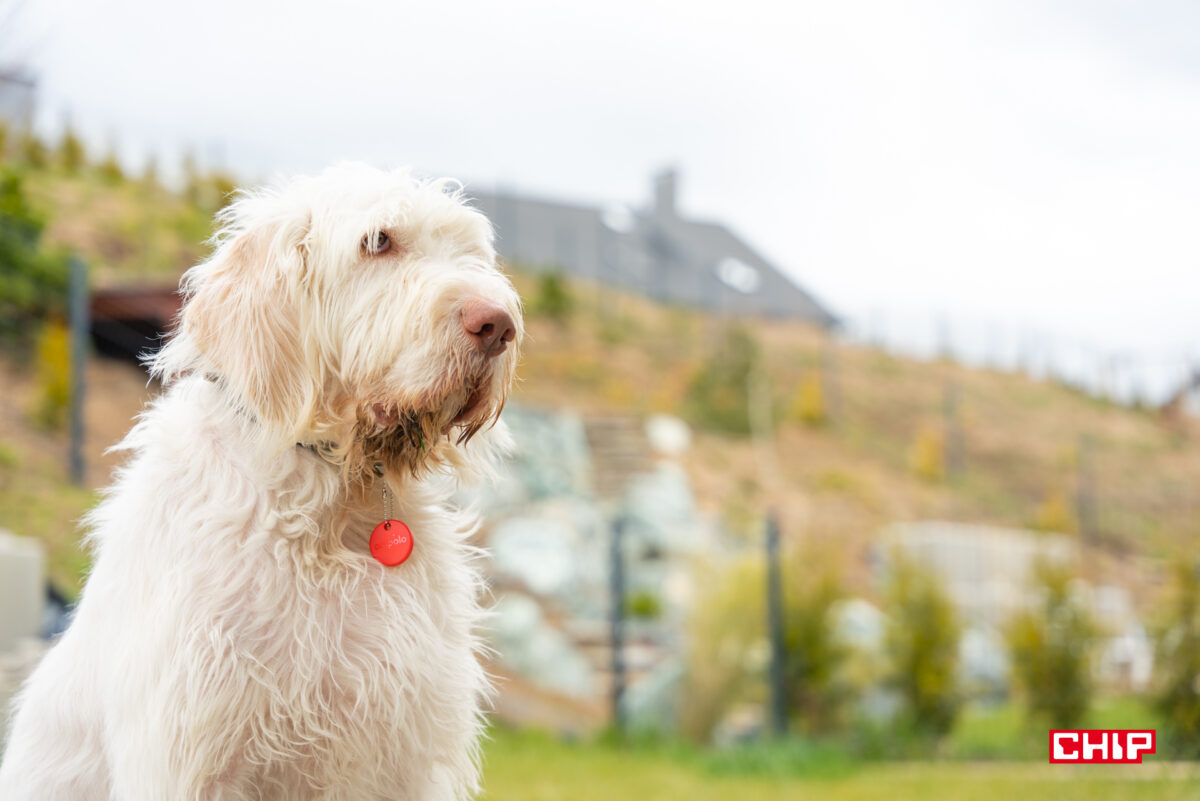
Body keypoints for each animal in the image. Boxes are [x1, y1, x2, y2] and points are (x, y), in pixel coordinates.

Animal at [2, 164, 523, 801]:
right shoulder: (187, 754)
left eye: (471, 254)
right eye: (378, 241)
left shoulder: (405, 755)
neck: (329, 513)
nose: (498, 325)